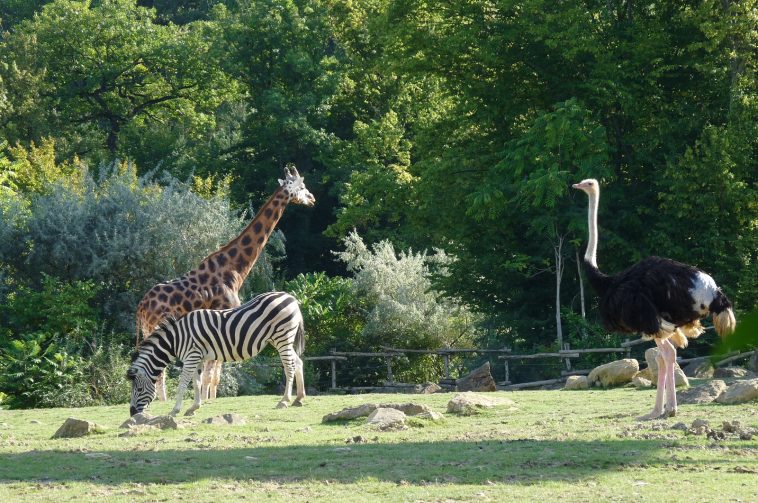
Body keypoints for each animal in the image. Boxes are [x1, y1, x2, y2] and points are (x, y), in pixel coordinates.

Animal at [129, 292, 308, 418]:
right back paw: (299, 398)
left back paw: (284, 401)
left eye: (139, 388)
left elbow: (183, 383)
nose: (132, 413)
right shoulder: (196, 358)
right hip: (282, 339)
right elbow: (197, 383)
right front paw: (193, 408)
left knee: (289, 366)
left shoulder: (191, 356)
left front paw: (175, 410)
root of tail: (290, 297)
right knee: (298, 362)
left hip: (282, 336)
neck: (176, 339)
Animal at [136, 167, 314, 404]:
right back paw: (162, 401)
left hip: (148, 329)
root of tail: (141, 306)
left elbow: (214, 370)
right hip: (154, 327)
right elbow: (211, 369)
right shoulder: (220, 316)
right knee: (159, 368)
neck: (234, 270)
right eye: (302, 187)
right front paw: (205, 399)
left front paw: (209, 398)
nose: (312, 199)